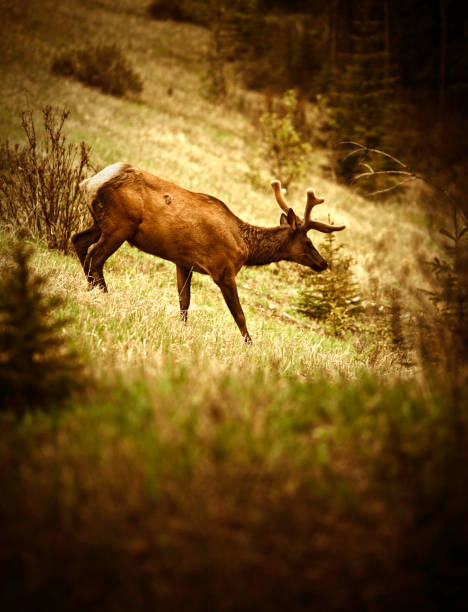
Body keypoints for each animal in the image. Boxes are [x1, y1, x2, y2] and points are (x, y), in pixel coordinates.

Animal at [72, 164, 344, 344]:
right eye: (308, 241)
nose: (323, 262)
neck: (246, 247)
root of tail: (91, 182)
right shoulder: (223, 270)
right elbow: (240, 315)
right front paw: (251, 345)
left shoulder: (183, 262)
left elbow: (184, 301)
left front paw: (182, 329)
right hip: (120, 223)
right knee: (96, 257)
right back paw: (102, 293)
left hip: (101, 223)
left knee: (78, 241)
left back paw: (92, 289)